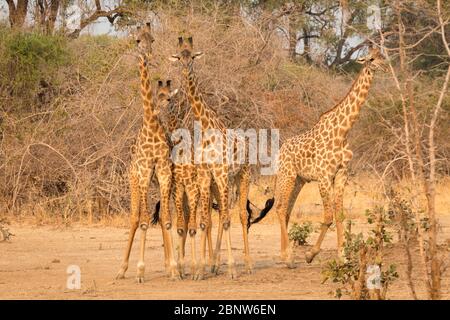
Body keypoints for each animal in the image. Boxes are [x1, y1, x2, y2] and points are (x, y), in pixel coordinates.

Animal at [115, 23, 180, 282]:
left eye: (152, 38)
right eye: (136, 40)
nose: (148, 55)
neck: (152, 126)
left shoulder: (163, 171)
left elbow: (166, 219)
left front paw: (173, 268)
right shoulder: (143, 173)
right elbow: (143, 220)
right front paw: (140, 271)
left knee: (157, 216)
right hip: (135, 181)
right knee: (135, 217)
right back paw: (123, 269)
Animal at [170, 36, 274, 278]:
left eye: (193, 57)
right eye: (180, 57)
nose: (185, 69)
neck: (207, 127)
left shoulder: (221, 174)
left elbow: (227, 220)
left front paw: (233, 269)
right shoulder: (206, 176)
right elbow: (205, 221)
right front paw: (201, 271)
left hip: (242, 176)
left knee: (241, 216)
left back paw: (247, 265)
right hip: (222, 183)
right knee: (221, 216)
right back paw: (216, 265)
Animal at [270, 47, 386, 268]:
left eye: (382, 55)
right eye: (371, 58)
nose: (384, 66)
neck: (343, 132)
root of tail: (280, 151)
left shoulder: (341, 174)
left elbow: (340, 215)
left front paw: (343, 257)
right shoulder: (324, 177)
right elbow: (328, 216)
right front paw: (310, 254)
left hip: (299, 180)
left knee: (286, 210)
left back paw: (283, 255)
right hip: (288, 175)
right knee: (280, 208)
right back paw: (288, 258)